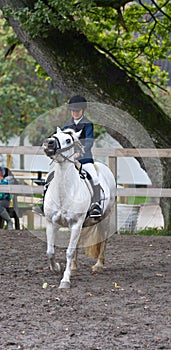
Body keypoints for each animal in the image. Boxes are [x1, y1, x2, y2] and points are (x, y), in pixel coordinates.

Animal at [42, 127, 115, 288]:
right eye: (53, 136)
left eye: (68, 140)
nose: (49, 143)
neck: (64, 191)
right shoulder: (52, 222)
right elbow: (50, 251)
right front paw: (56, 267)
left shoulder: (76, 223)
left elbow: (69, 252)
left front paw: (65, 280)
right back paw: (74, 268)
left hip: (104, 217)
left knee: (104, 239)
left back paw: (98, 265)